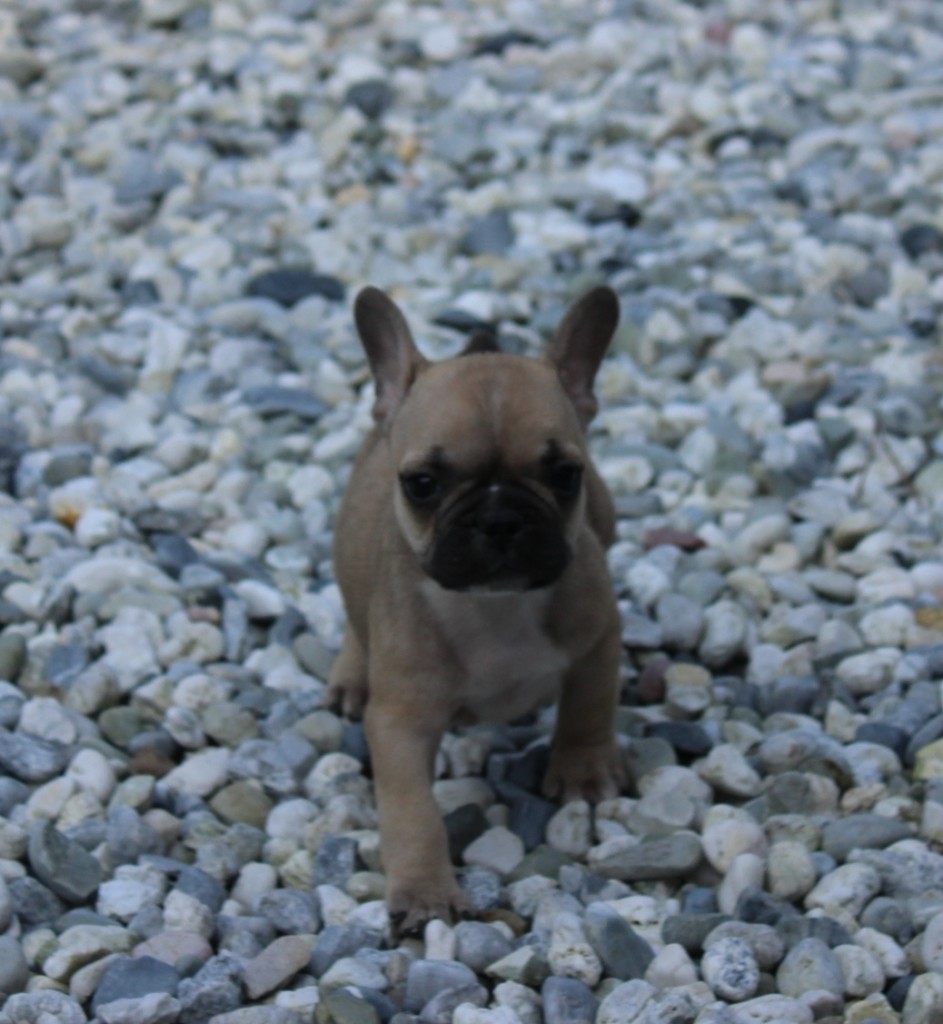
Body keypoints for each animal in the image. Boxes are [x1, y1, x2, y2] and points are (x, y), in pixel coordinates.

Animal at [328, 285, 624, 934]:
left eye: (565, 475)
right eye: (422, 483)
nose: (500, 518)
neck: (497, 608)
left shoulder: (598, 642)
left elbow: (589, 708)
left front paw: (581, 770)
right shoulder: (401, 723)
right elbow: (412, 811)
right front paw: (425, 891)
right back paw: (350, 676)